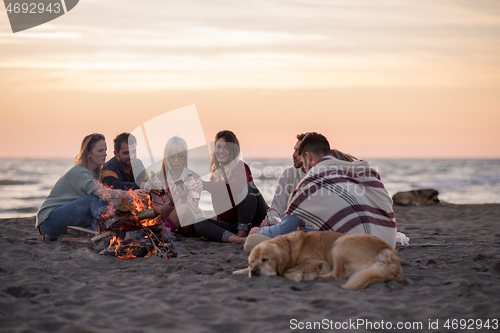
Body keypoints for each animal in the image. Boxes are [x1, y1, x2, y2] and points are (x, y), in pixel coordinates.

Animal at [233, 230, 402, 290]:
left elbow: (288, 271)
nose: (254, 271)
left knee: (337, 274)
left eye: (265, 259)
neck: (290, 247)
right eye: (252, 262)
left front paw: (298, 275)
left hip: (341, 242)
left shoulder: (314, 260)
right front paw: (240, 271)